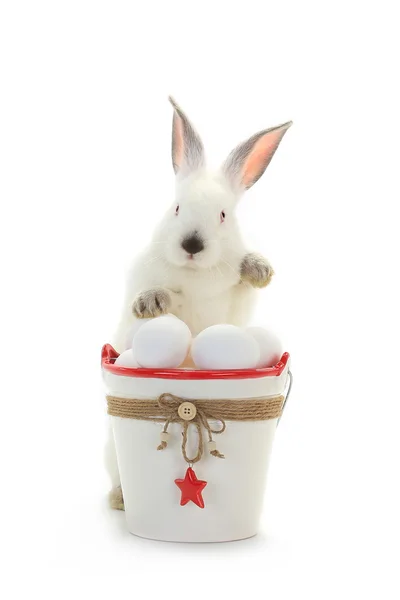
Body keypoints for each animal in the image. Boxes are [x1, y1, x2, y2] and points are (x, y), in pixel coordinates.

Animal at [108, 96, 292, 508]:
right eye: (176, 208)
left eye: (223, 215)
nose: (192, 244)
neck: (197, 274)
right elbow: (164, 300)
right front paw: (150, 303)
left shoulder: (234, 305)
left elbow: (242, 283)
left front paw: (259, 269)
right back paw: (120, 500)